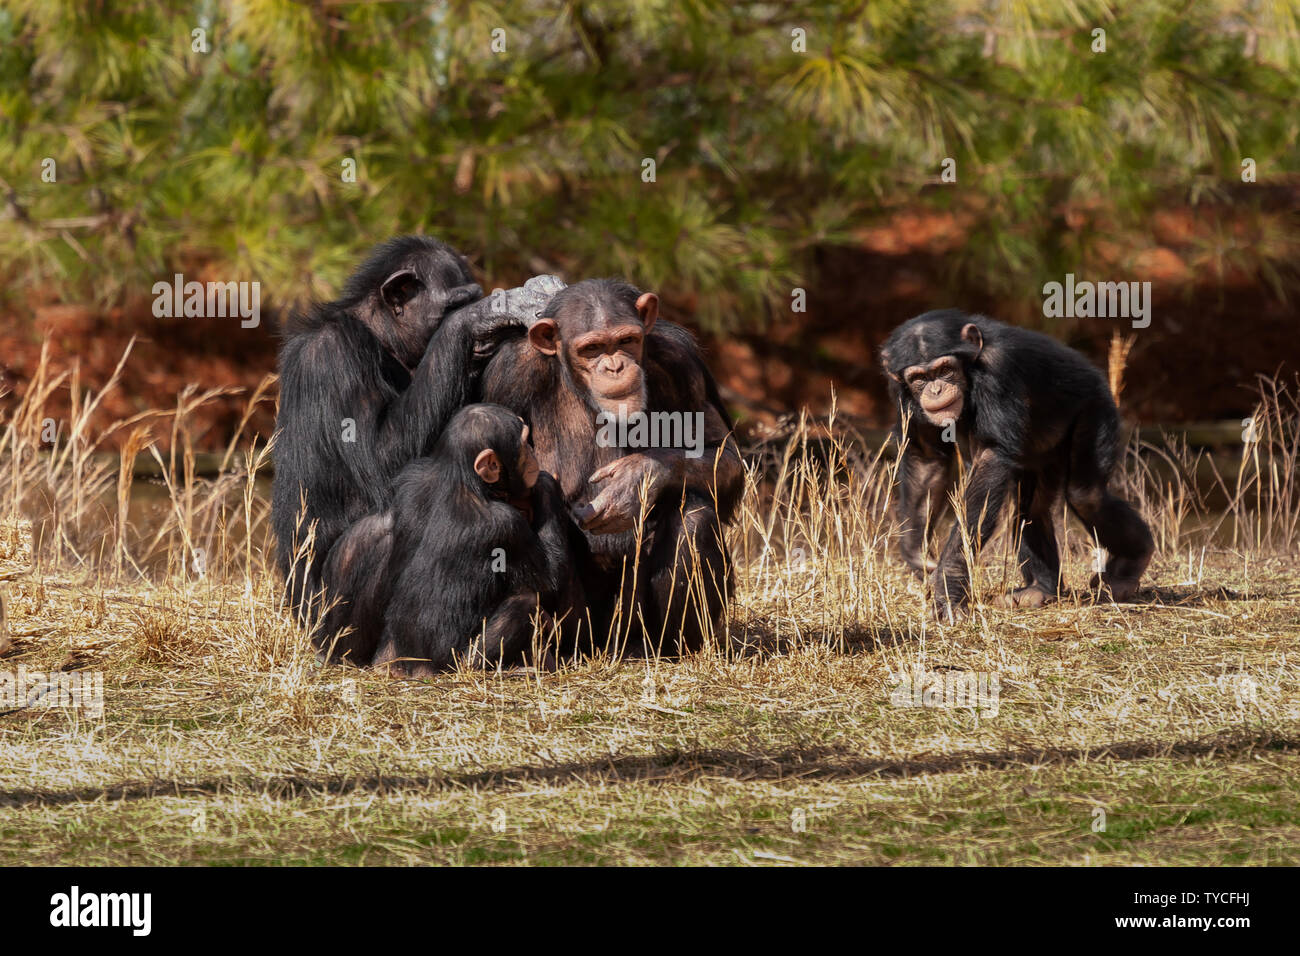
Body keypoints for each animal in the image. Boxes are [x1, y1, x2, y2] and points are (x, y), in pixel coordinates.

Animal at [371, 403, 585, 681]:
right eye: (524, 444)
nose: (534, 453)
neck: (464, 480)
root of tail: (420, 667)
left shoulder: (411, 483)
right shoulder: (507, 525)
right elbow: (550, 581)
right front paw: (545, 482)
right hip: (452, 661)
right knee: (525, 602)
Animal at [878, 308, 1154, 621]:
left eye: (945, 370)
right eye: (919, 378)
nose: (935, 389)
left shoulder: (1000, 370)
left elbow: (991, 458)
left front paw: (948, 583)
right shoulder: (899, 391)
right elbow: (927, 460)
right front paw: (919, 557)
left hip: (1096, 408)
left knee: (1086, 496)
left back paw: (1129, 567)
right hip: (1041, 454)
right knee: (1031, 508)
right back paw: (1041, 589)